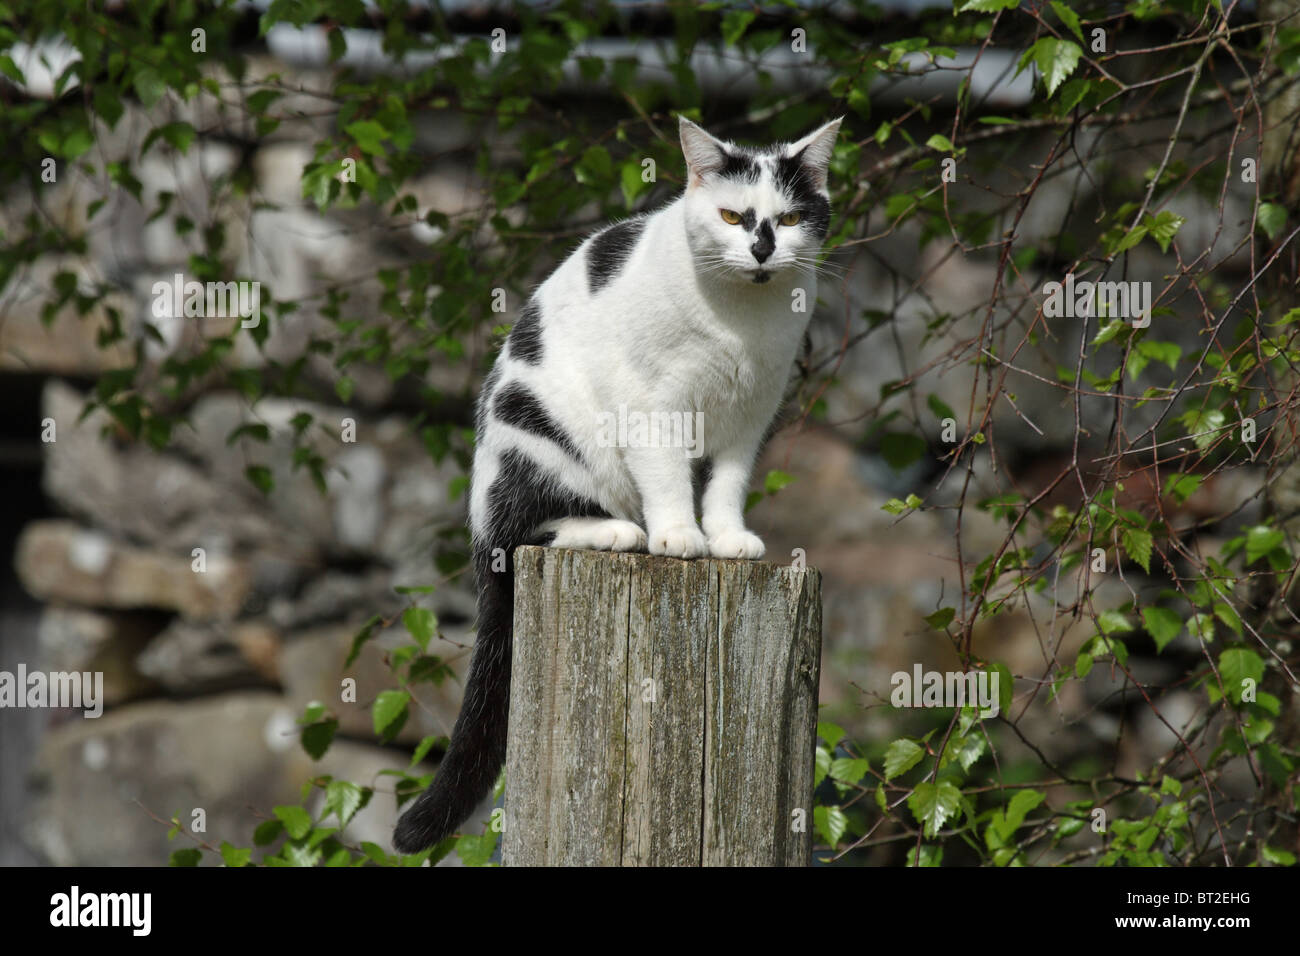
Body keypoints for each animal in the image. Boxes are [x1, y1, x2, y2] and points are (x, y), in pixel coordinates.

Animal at [390, 111, 842, 853]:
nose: (762, 250)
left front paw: (728, 538)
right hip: (536, 437)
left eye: (790, 217)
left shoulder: (752, 416)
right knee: (527, 531)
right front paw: (680, 537)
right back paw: (618, 530)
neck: (742, 324)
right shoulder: (653, 405)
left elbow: (725, 484)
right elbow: (668, 479)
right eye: (732, 215)